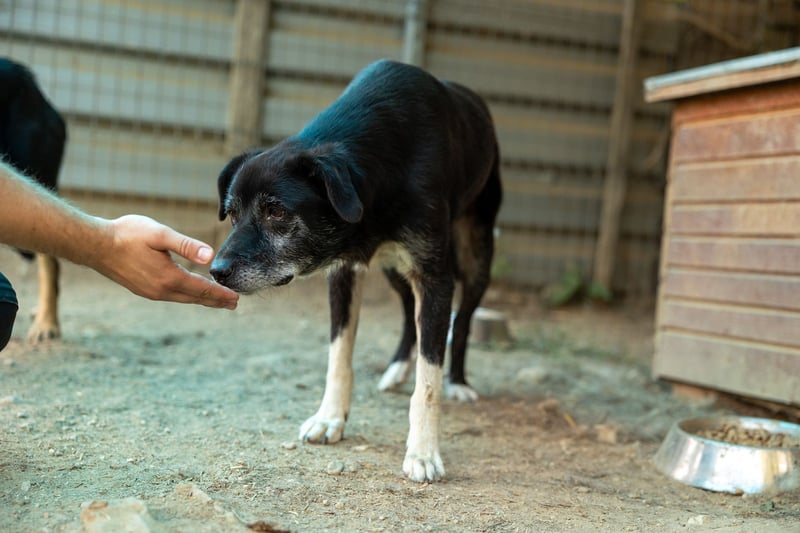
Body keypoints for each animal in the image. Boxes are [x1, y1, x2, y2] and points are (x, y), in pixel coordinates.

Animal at [211, 59, 502, 482]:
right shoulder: (345, 270)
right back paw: (397, 368)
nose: (215, 270)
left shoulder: (434, 275)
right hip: (394, 269)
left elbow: (429, 377)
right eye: (232, 213)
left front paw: (423, 452)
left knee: (460, 321)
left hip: (476, 254)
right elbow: (339, 353)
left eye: (276, 211)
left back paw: (458, 382)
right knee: (408, 314)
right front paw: (330, 417)